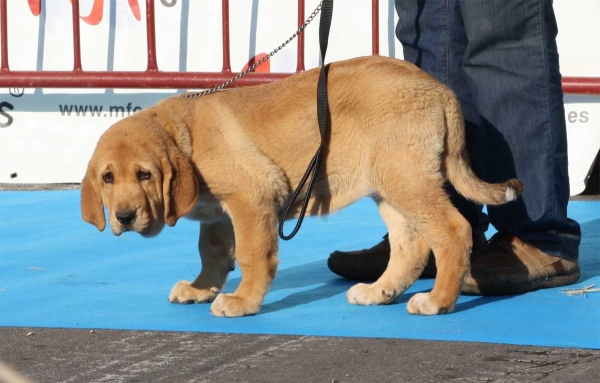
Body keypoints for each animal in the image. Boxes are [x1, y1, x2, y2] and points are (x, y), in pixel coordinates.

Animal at [79, 54, 520, 318]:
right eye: (107, 178)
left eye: (145, 175)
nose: (124, 216)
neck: (183, 135)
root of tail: (441, 89)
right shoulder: (218, 214)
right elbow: (213, 253)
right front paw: (201, 288)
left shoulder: (252, 197)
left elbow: (253, 256)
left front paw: (242, 301)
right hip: (389, 186)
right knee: (411, 246)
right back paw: (380, 291)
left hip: (408, 180)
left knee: (452, 231)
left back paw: (438, 301)